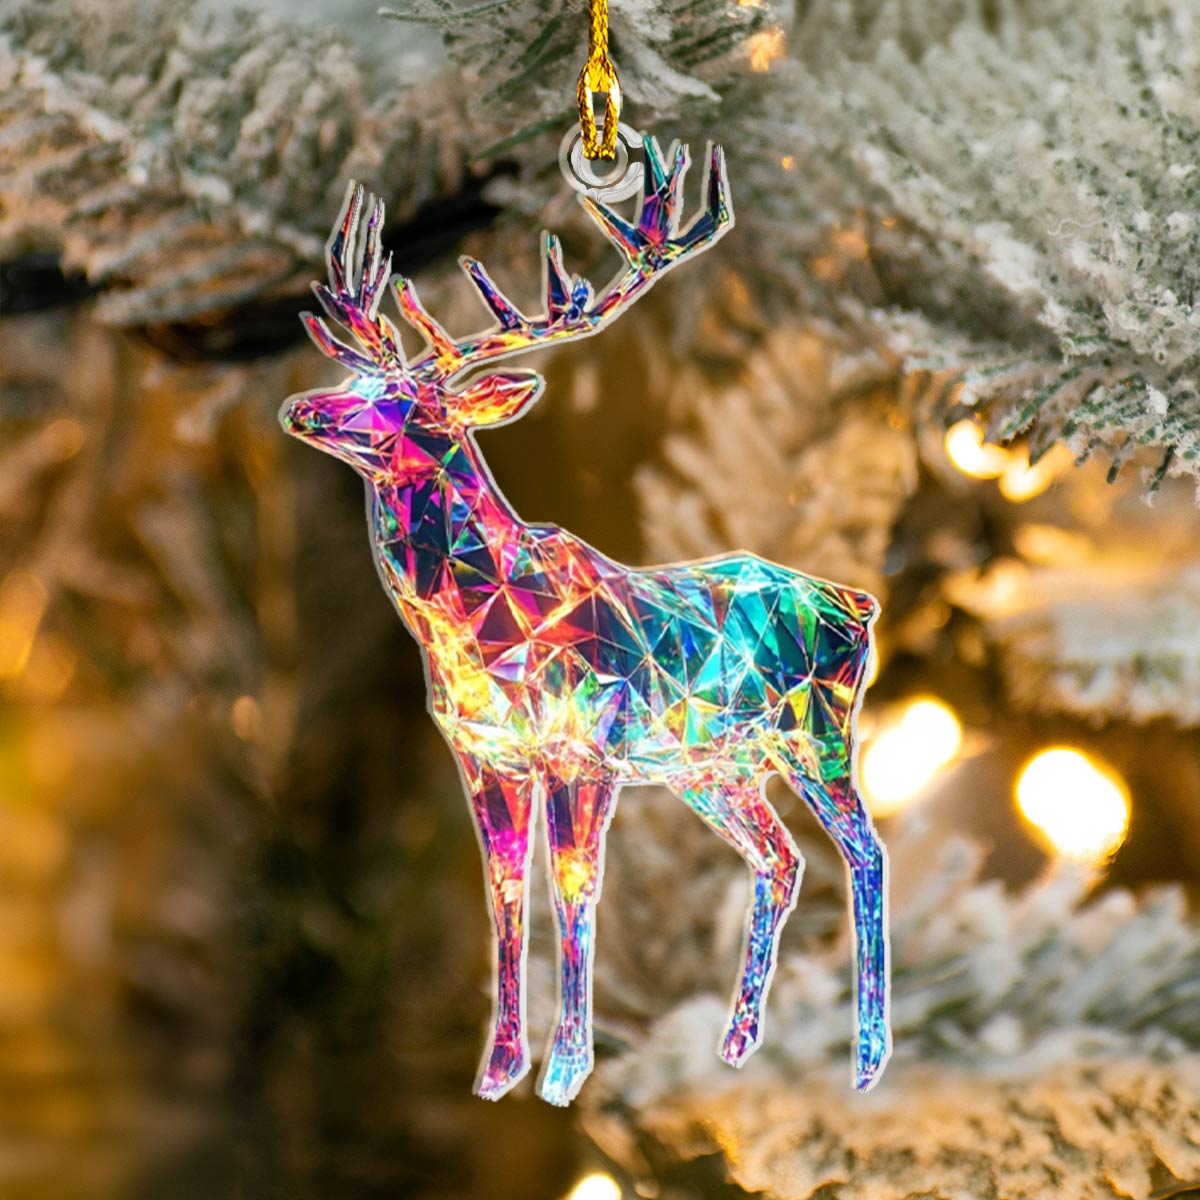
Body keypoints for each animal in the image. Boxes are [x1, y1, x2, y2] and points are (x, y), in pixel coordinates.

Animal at [279, 136, 890, 1106]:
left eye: (415, 404)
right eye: (357, 376)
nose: (301, 408)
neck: (481, 623)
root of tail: (859, 604)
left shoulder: (584, 747)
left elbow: (574, 889)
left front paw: (565, 1071)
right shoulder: (483, 756)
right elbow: (503, 895)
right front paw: (498, 1068)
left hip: (817, 727)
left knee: (864, 855)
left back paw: (866, 1058)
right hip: (714, 766)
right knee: (780, 860)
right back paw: (737, 1042)